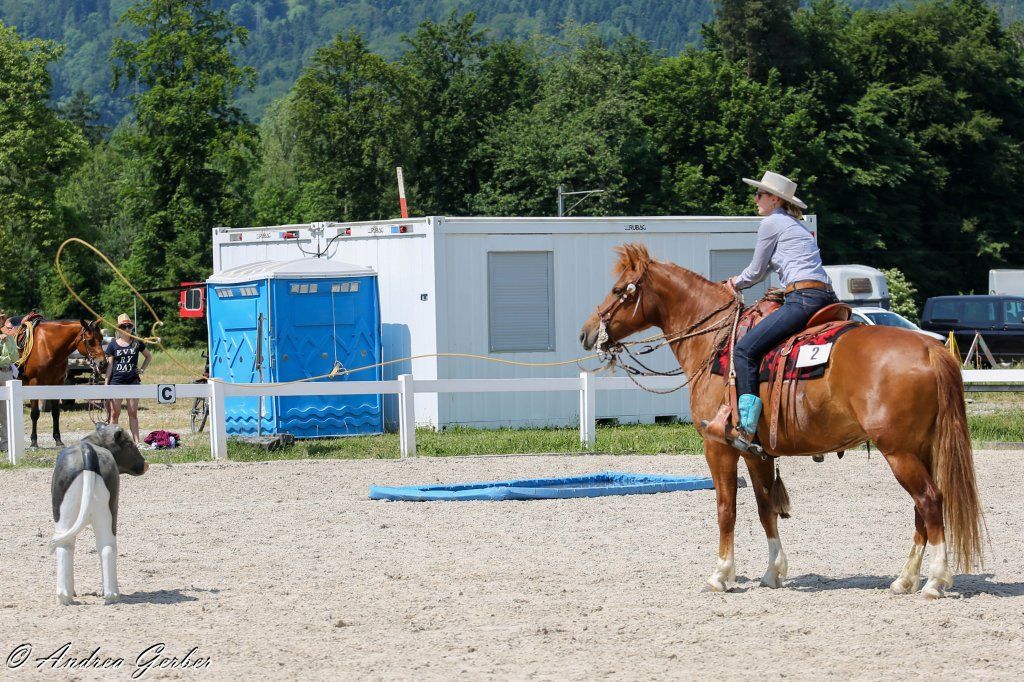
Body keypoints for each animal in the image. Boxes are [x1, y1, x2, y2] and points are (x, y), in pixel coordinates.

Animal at [16, 320, 107, 449]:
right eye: (90, 341)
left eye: (101, 338)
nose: (103, 363)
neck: (47, 346)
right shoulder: (34, 383)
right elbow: (34, 414)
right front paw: (34, 442)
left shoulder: (57, 383)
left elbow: (55, 413)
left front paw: (58, 440)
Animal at [579, 244, 984, 599]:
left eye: (618, 289)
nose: (586, 333)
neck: (717, 342)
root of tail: (930, 348)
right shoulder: (756, 452)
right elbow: (765, 508)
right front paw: (772, 572)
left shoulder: (718, 447)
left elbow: (726, 509)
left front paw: (721, 575)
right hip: (920, 448)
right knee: (922, 509)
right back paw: (905, 580)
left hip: (899, 452)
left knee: (930, 501)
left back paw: (934, 581)